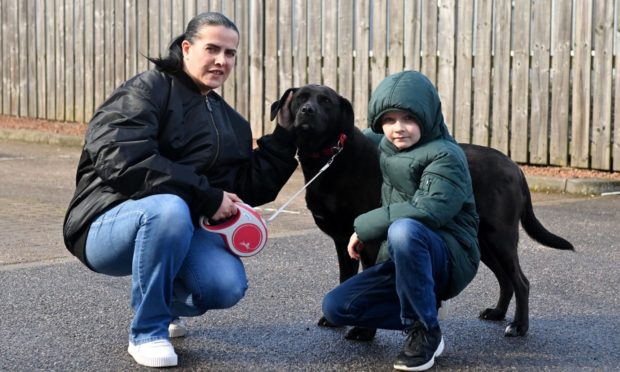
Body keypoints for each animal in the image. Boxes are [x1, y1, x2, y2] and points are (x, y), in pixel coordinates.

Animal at [268, 84, 572, 340]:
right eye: (300, 98)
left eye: (326, 101)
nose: (308, 111)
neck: (330, 158)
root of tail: (516, 168)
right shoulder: (344, 242)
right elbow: (345, 279)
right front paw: (336, 321)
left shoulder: (367, 242)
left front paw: (364, 331)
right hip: (484, 243)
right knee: (506, 280)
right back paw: (497, 313)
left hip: (501, 237)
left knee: (521, 281)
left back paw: (519, 326)